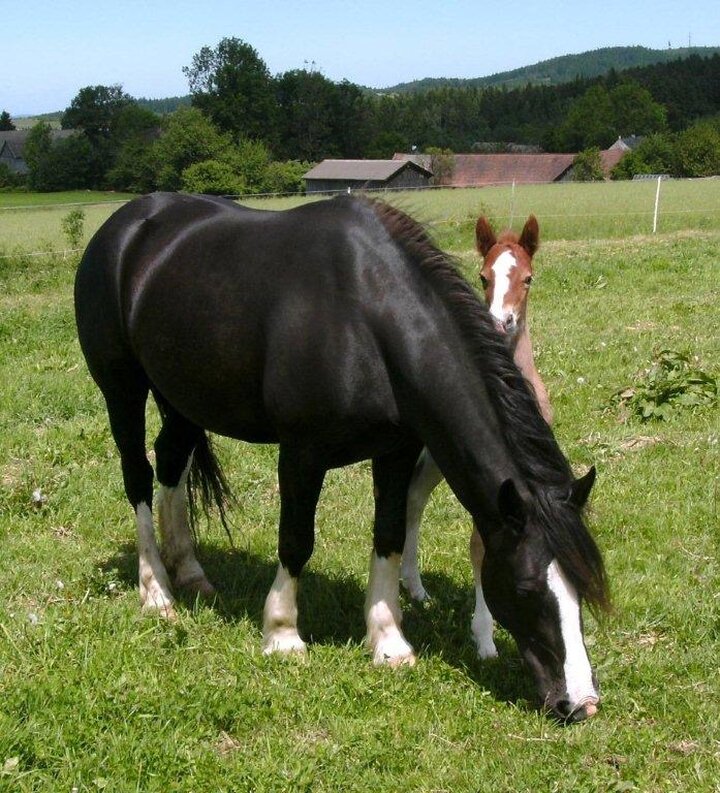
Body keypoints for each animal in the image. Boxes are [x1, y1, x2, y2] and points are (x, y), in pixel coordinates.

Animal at [76, 190, 608, 716]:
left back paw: (188, 570)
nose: (581, 703)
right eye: (525, 588)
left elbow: (390, 535)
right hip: (122, 390)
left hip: (184, 396)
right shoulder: (301, 454)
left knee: (171, 463)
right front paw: (283, 634)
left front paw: (388, 639)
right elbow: (296, 540)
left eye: (581, 587)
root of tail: (125, 226)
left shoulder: (396, 451)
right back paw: (156, 591)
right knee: (138, 476)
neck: (365, 317)